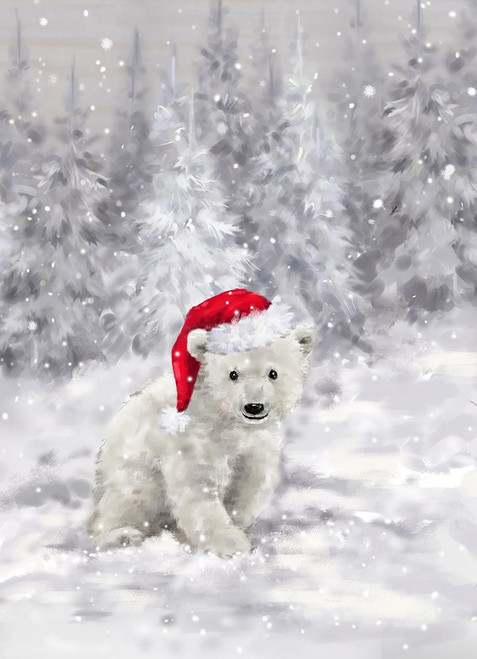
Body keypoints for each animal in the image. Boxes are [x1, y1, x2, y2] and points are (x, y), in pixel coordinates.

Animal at [89, 298, 315, 558]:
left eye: (273, 373)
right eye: (233, 374)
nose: (254, 407)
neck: (229, 422)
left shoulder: (255, 444)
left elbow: (248, 481)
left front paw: (239, 525)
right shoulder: (194, 440)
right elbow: (198, 487)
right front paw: (230, 542)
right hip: (134, 470)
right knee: (129, 499)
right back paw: (122, 534)